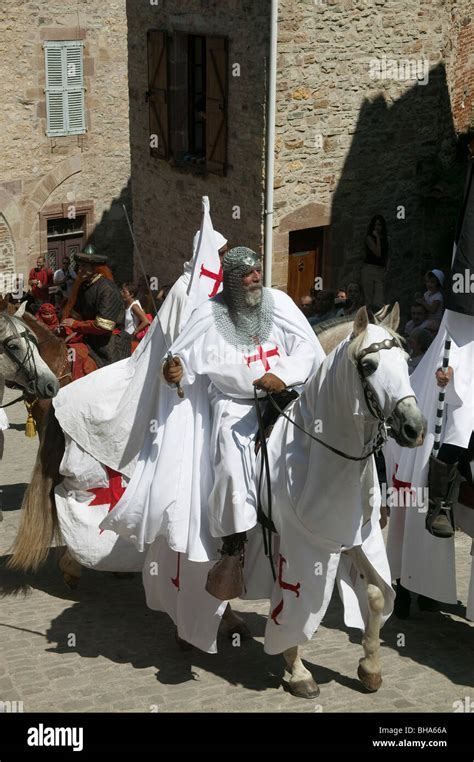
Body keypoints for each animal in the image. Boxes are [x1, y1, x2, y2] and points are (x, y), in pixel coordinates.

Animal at [254, 306, 428, 696]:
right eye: (369, 365)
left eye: (407, 360)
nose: (415, 428)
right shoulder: (297, 542)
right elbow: (292, 600)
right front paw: (297, 669)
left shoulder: (353, 536)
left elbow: (376, 593)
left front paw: (370, 667)